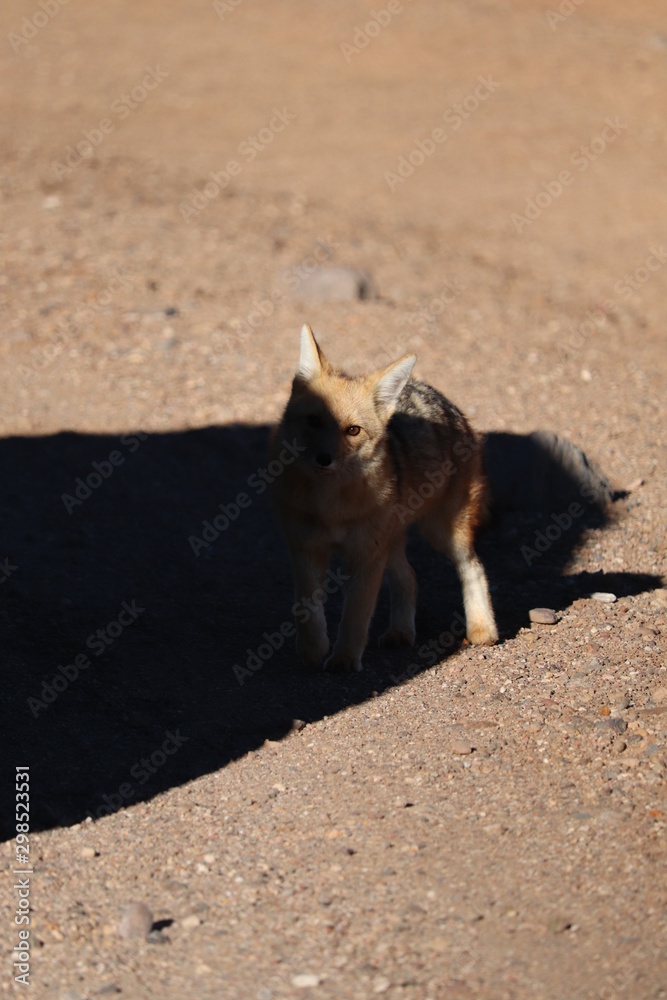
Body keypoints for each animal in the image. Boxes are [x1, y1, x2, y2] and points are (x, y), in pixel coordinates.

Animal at [270, 324, 498, 673]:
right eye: (314, 421)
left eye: (352, 430)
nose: (324, 459)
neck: (331, 508)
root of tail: (445, 401)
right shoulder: (306, 549)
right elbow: (307, 609)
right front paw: (313, 650)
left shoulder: (365, 556)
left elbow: (356, 614)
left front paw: (343, 660)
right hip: (390, 545)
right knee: (409, 578)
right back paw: (400, 631)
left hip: (442, 534)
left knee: (474, 567)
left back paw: (482, 628)